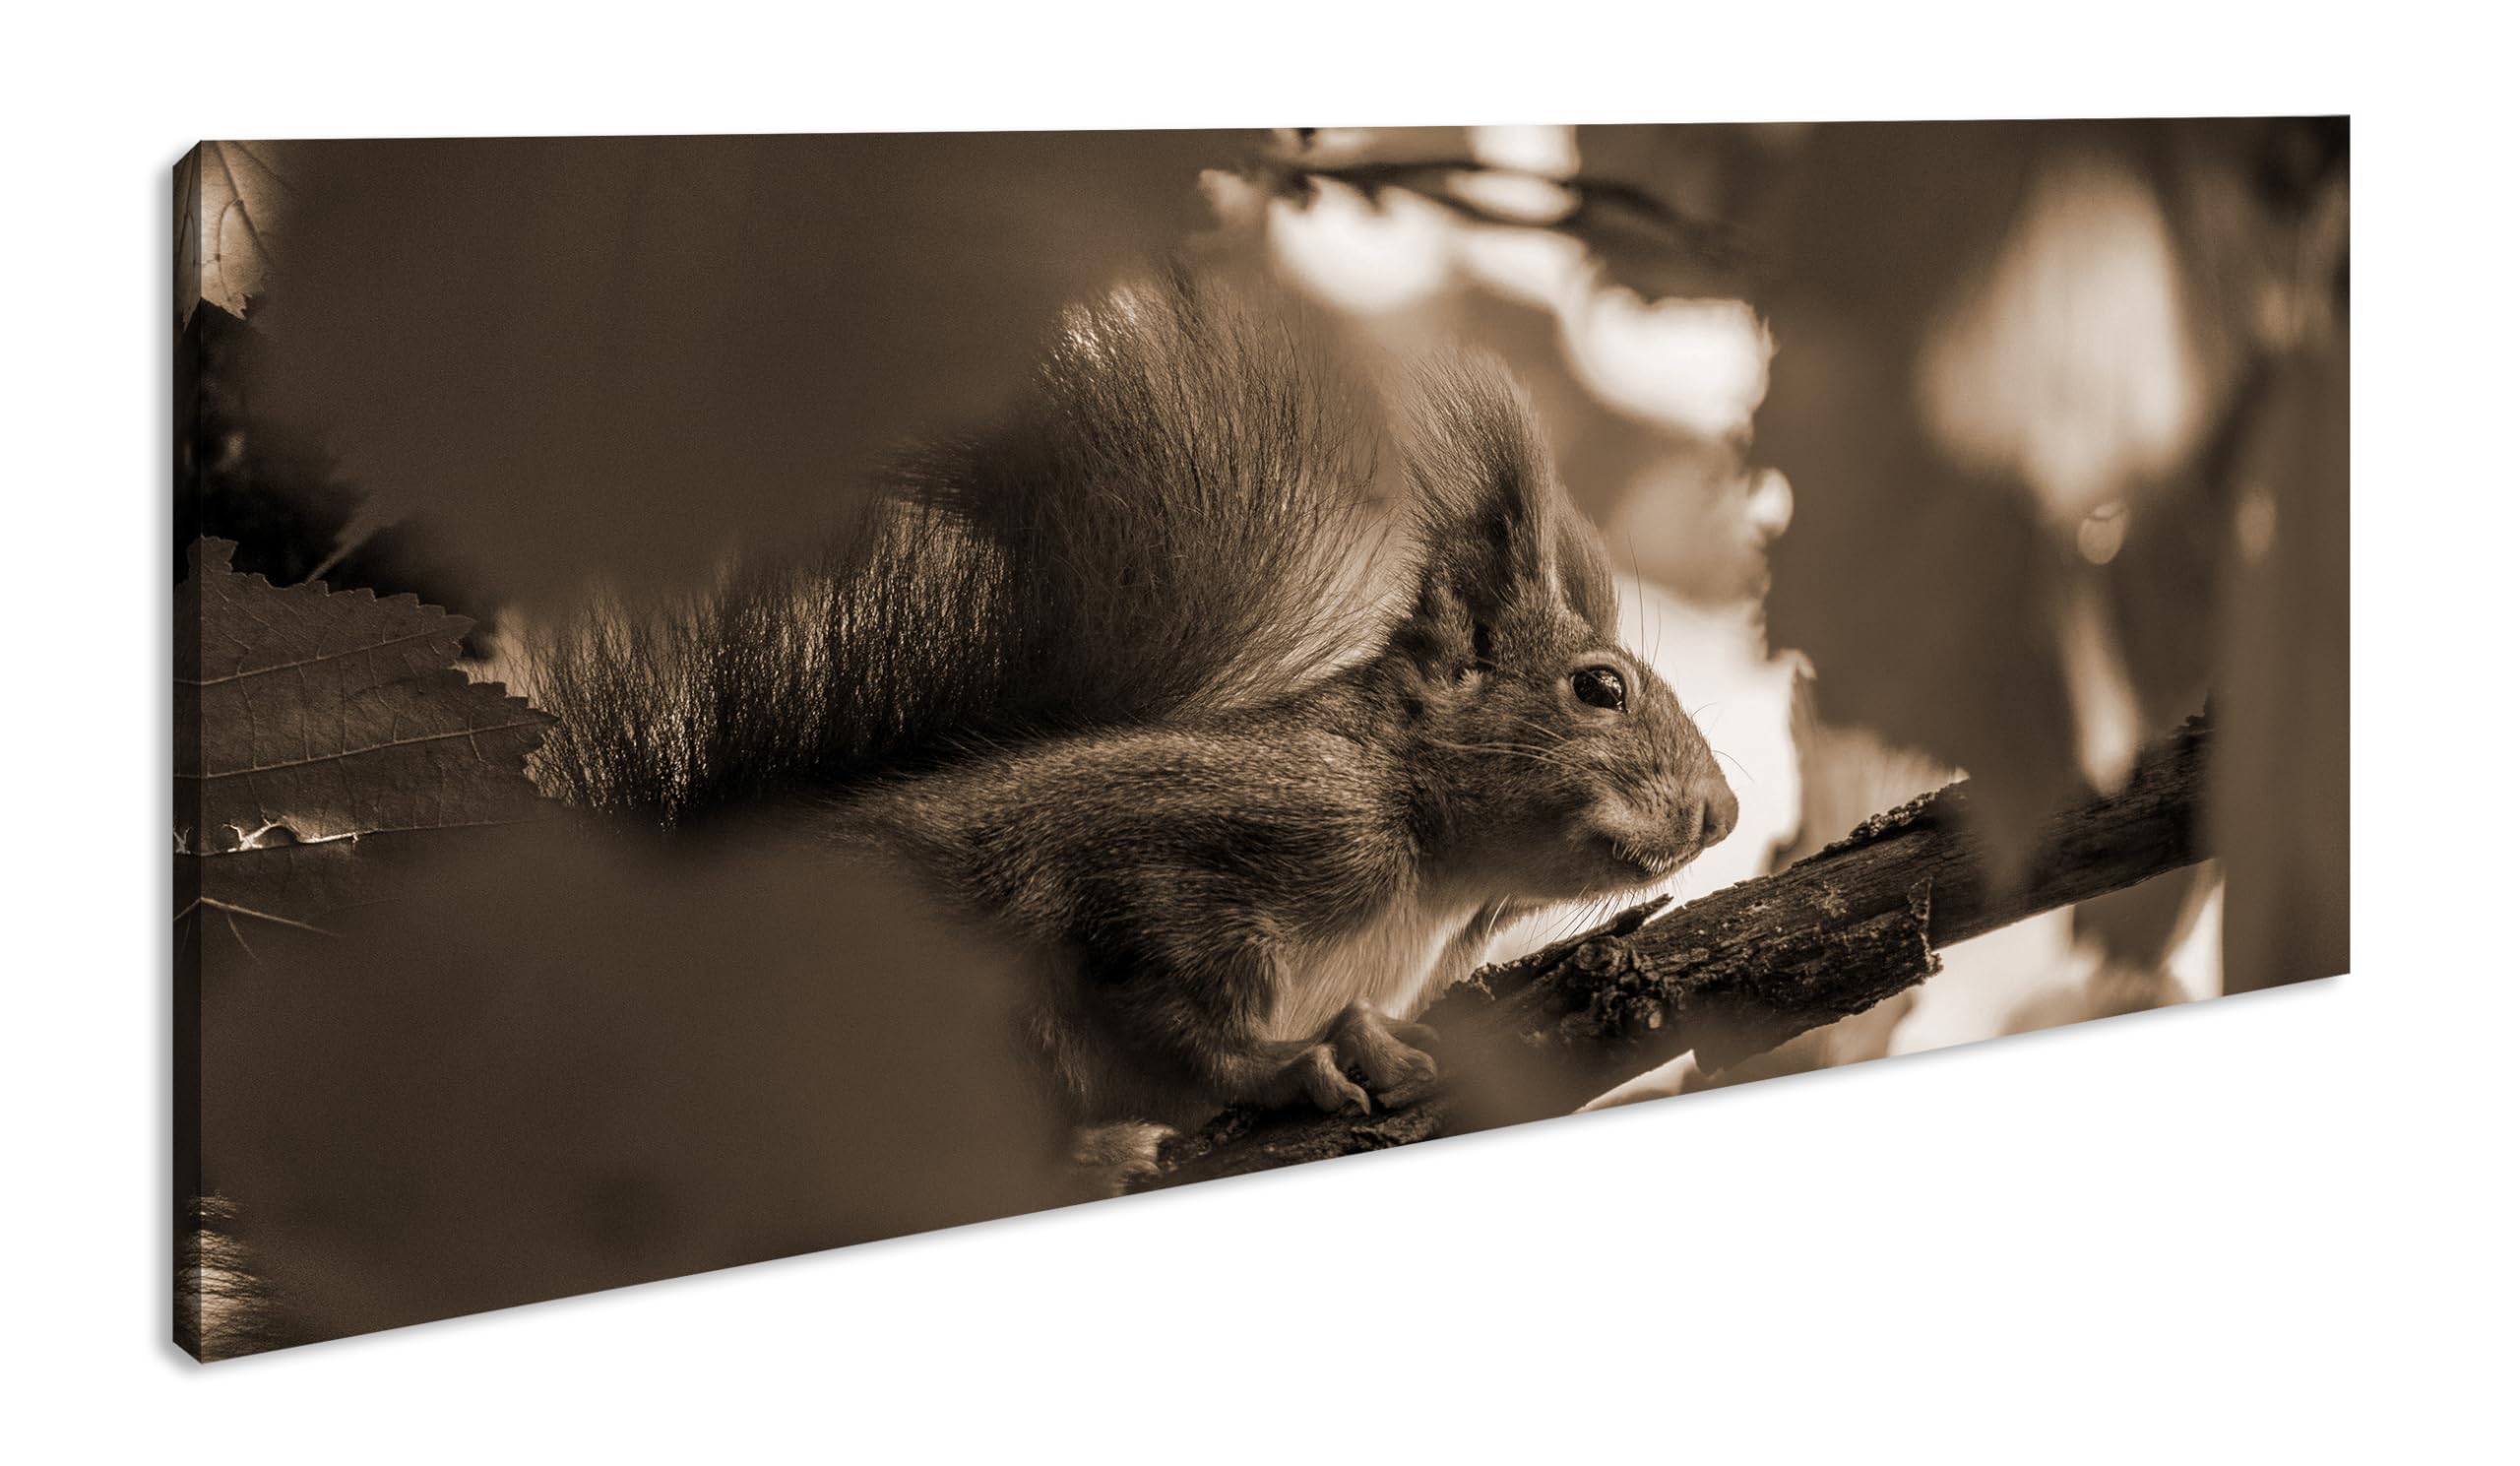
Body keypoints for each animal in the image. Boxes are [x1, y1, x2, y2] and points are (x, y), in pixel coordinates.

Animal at [528, 264, 1739, 1190]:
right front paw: (1291, 1062)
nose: (1722, 814)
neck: (1426, 880)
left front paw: (1367, 1040)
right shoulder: (1183, 855)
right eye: (1598, 689)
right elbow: (1163, 1000)